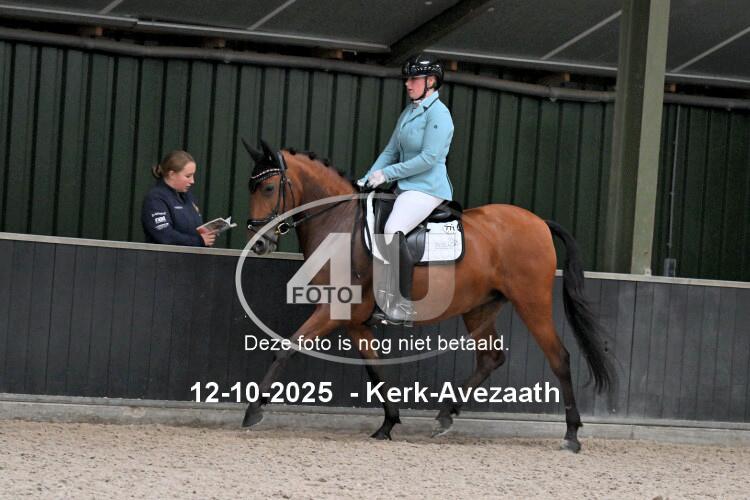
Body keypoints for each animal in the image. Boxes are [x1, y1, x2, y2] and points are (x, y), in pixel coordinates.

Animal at [240, 140, 615, 452]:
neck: (341, 223)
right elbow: (376, 372)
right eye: (251, 188)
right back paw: (445, 416)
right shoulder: (355, 321)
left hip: (532, 303)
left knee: (559, 357)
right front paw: (388, 424)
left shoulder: (333, 309)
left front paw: (252, 411)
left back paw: (571, 435)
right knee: (490, 359)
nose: (259, 244)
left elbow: (286, 348)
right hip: (480, 308)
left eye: (269, 188)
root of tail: (539, 222)